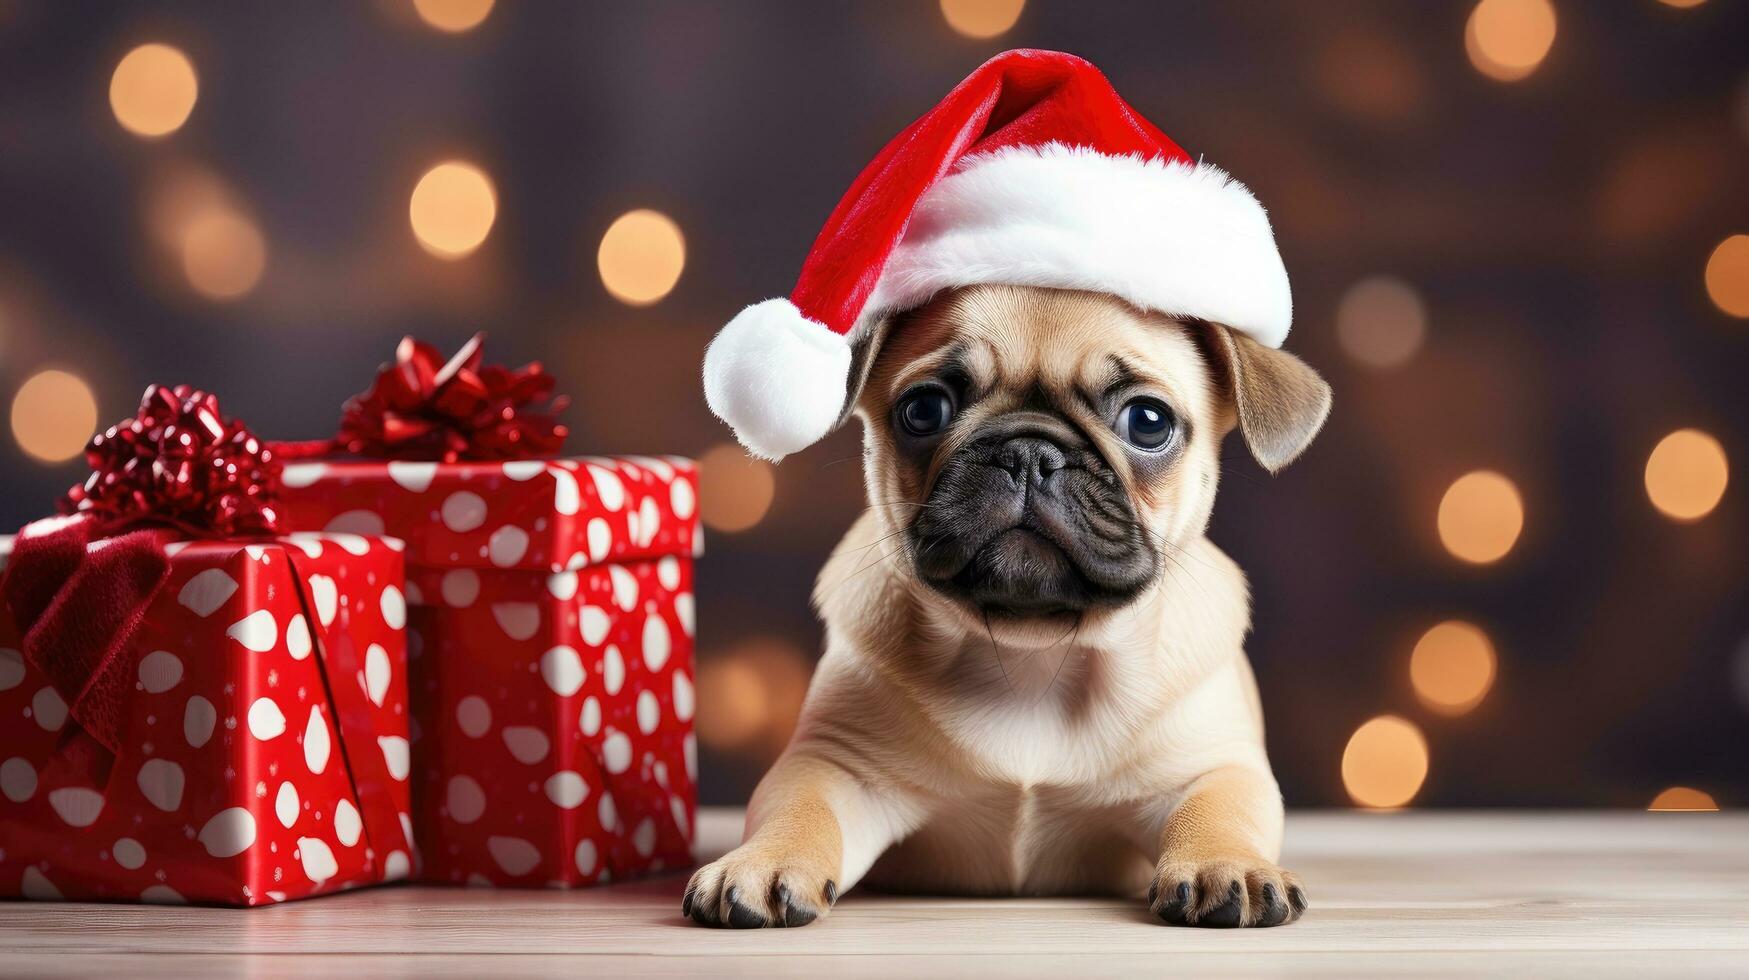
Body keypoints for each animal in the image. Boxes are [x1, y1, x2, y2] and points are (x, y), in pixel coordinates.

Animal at [682, 281, 1322, 924]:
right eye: (923, 410)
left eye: (1148, 422)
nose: (1028, 453)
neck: (1033, 653)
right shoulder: (834, 764)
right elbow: (799, 808)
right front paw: (762, 863)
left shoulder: (1213, 767)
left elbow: (1219, 810)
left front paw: (1227, 865)